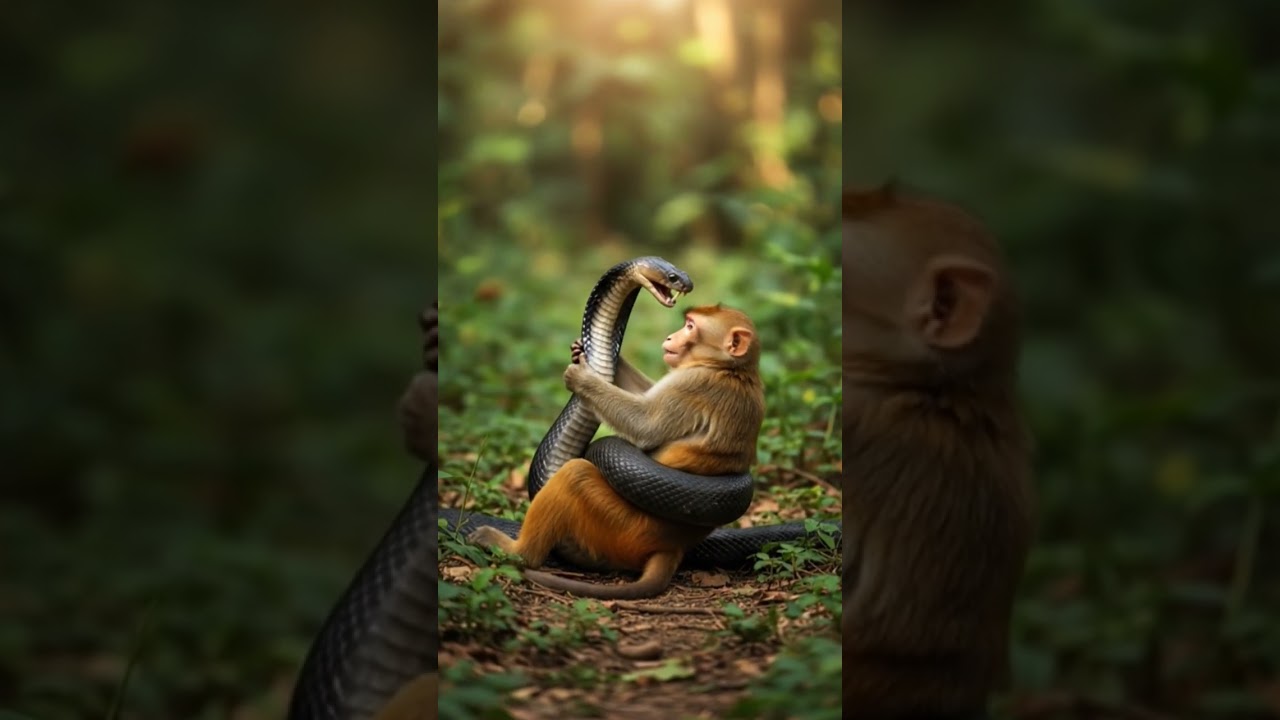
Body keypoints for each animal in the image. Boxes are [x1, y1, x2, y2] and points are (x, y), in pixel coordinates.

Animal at [466, 303, 766, 599]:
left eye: (691, 327)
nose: (671, 336)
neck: (731, 368)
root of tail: (673, 547)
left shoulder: (694, 382)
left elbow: (645, 425)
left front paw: (583, 377)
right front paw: (598, 354)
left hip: (620, 526)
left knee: (575, 474)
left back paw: (516, 551)